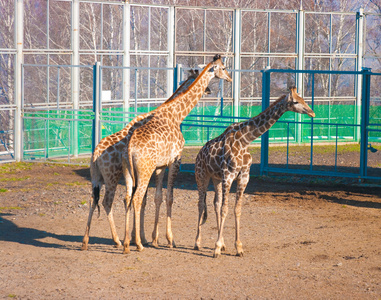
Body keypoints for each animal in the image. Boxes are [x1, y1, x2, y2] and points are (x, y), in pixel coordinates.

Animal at [79, 69, 208, 250]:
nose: (209, 90)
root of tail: (95, 154)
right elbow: (144, 200)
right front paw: (143, 239)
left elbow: (144, 199)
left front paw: (139, 238)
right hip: (112, 177)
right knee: (107, 202)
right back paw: (117, 240)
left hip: (97, 177)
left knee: (94, 199)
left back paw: (88, 241)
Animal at [121, 54, 232, 253]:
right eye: (224, 67)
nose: (230, 79)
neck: (176, 114)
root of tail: (129, 146)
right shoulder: (175, 160)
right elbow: (170, 197)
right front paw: (169, 239)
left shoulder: (161, 165)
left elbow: (158, 197)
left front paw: (155, 238)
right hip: (144, 170)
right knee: (137, 198)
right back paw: (138, 243)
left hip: (129, 171)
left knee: (128, 198)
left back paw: (127, 242)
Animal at [193, 85, 314, 256]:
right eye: (296, 101)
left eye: (304, 99)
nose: (312, 112)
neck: (245, 140)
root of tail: (198, 154)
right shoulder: (228, 175)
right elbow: (225, 209)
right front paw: (216, 248)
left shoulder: (244, 176)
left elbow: (236, 209)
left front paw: (238, 247)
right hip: (201, 176)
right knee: (201, 204)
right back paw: (197, 243)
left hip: (216, 178)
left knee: (215, 203)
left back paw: (222, 244)